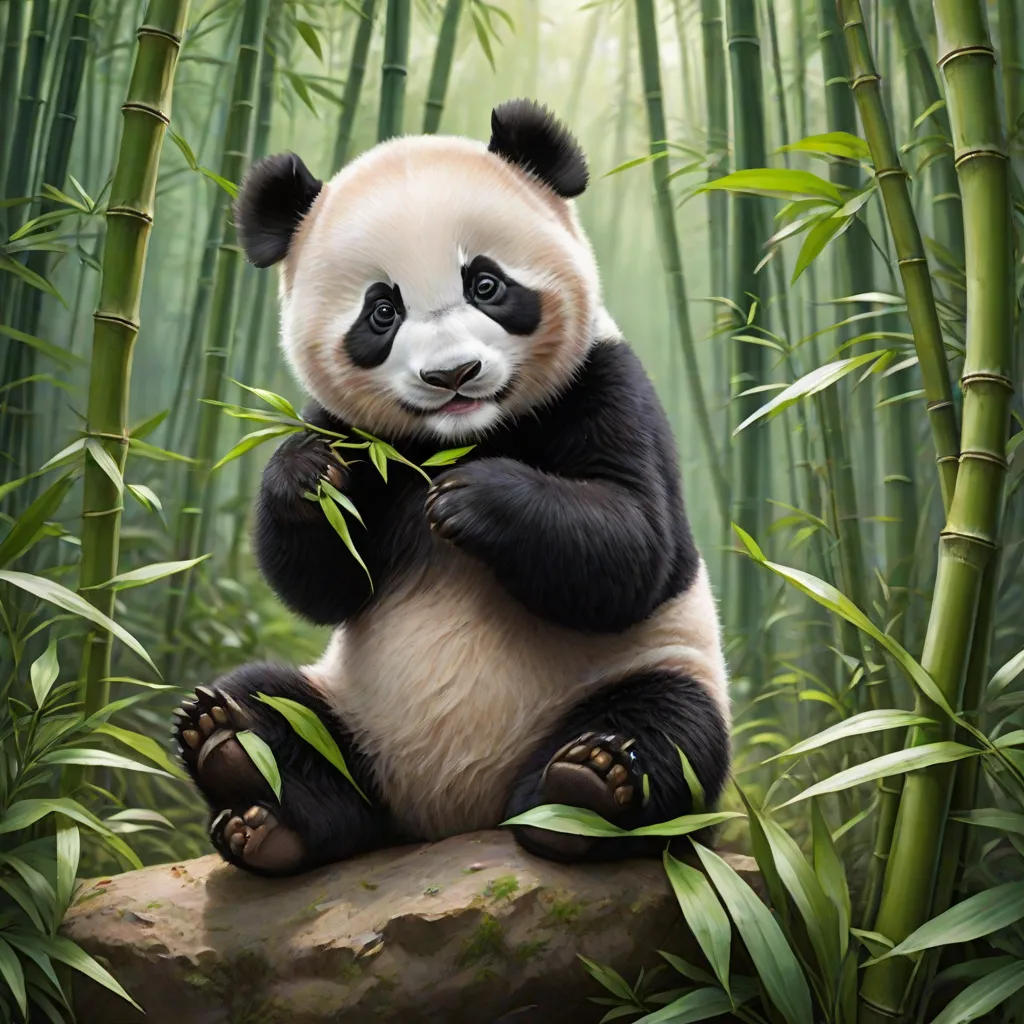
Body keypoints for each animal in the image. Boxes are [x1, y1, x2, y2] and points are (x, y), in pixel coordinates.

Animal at [173, 99, 731, 876]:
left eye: (485, 284)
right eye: (382, 311)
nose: (452, 375)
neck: (463, 435)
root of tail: (447, 818)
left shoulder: (608, 384)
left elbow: (638, 548)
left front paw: (475, 499)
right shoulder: (357, 434)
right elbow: (323, 584)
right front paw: (308, 476)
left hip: (643, 669)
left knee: (669, 726)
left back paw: (583, 792)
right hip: (351, 706)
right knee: (275, 707)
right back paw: (246, 779)